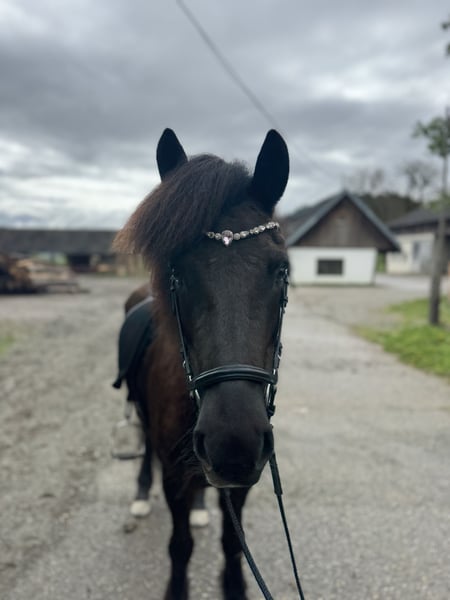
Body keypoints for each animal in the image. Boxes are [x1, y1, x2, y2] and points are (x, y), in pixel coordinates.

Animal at [114, 127, 290, 600]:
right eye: (177, 271)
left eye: (281, 270)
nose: (233, 443)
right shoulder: (174, 474)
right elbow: (180, 546)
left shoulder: (245, 476)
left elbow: (233, 542)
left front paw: (235, 587)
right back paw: (140, 495)